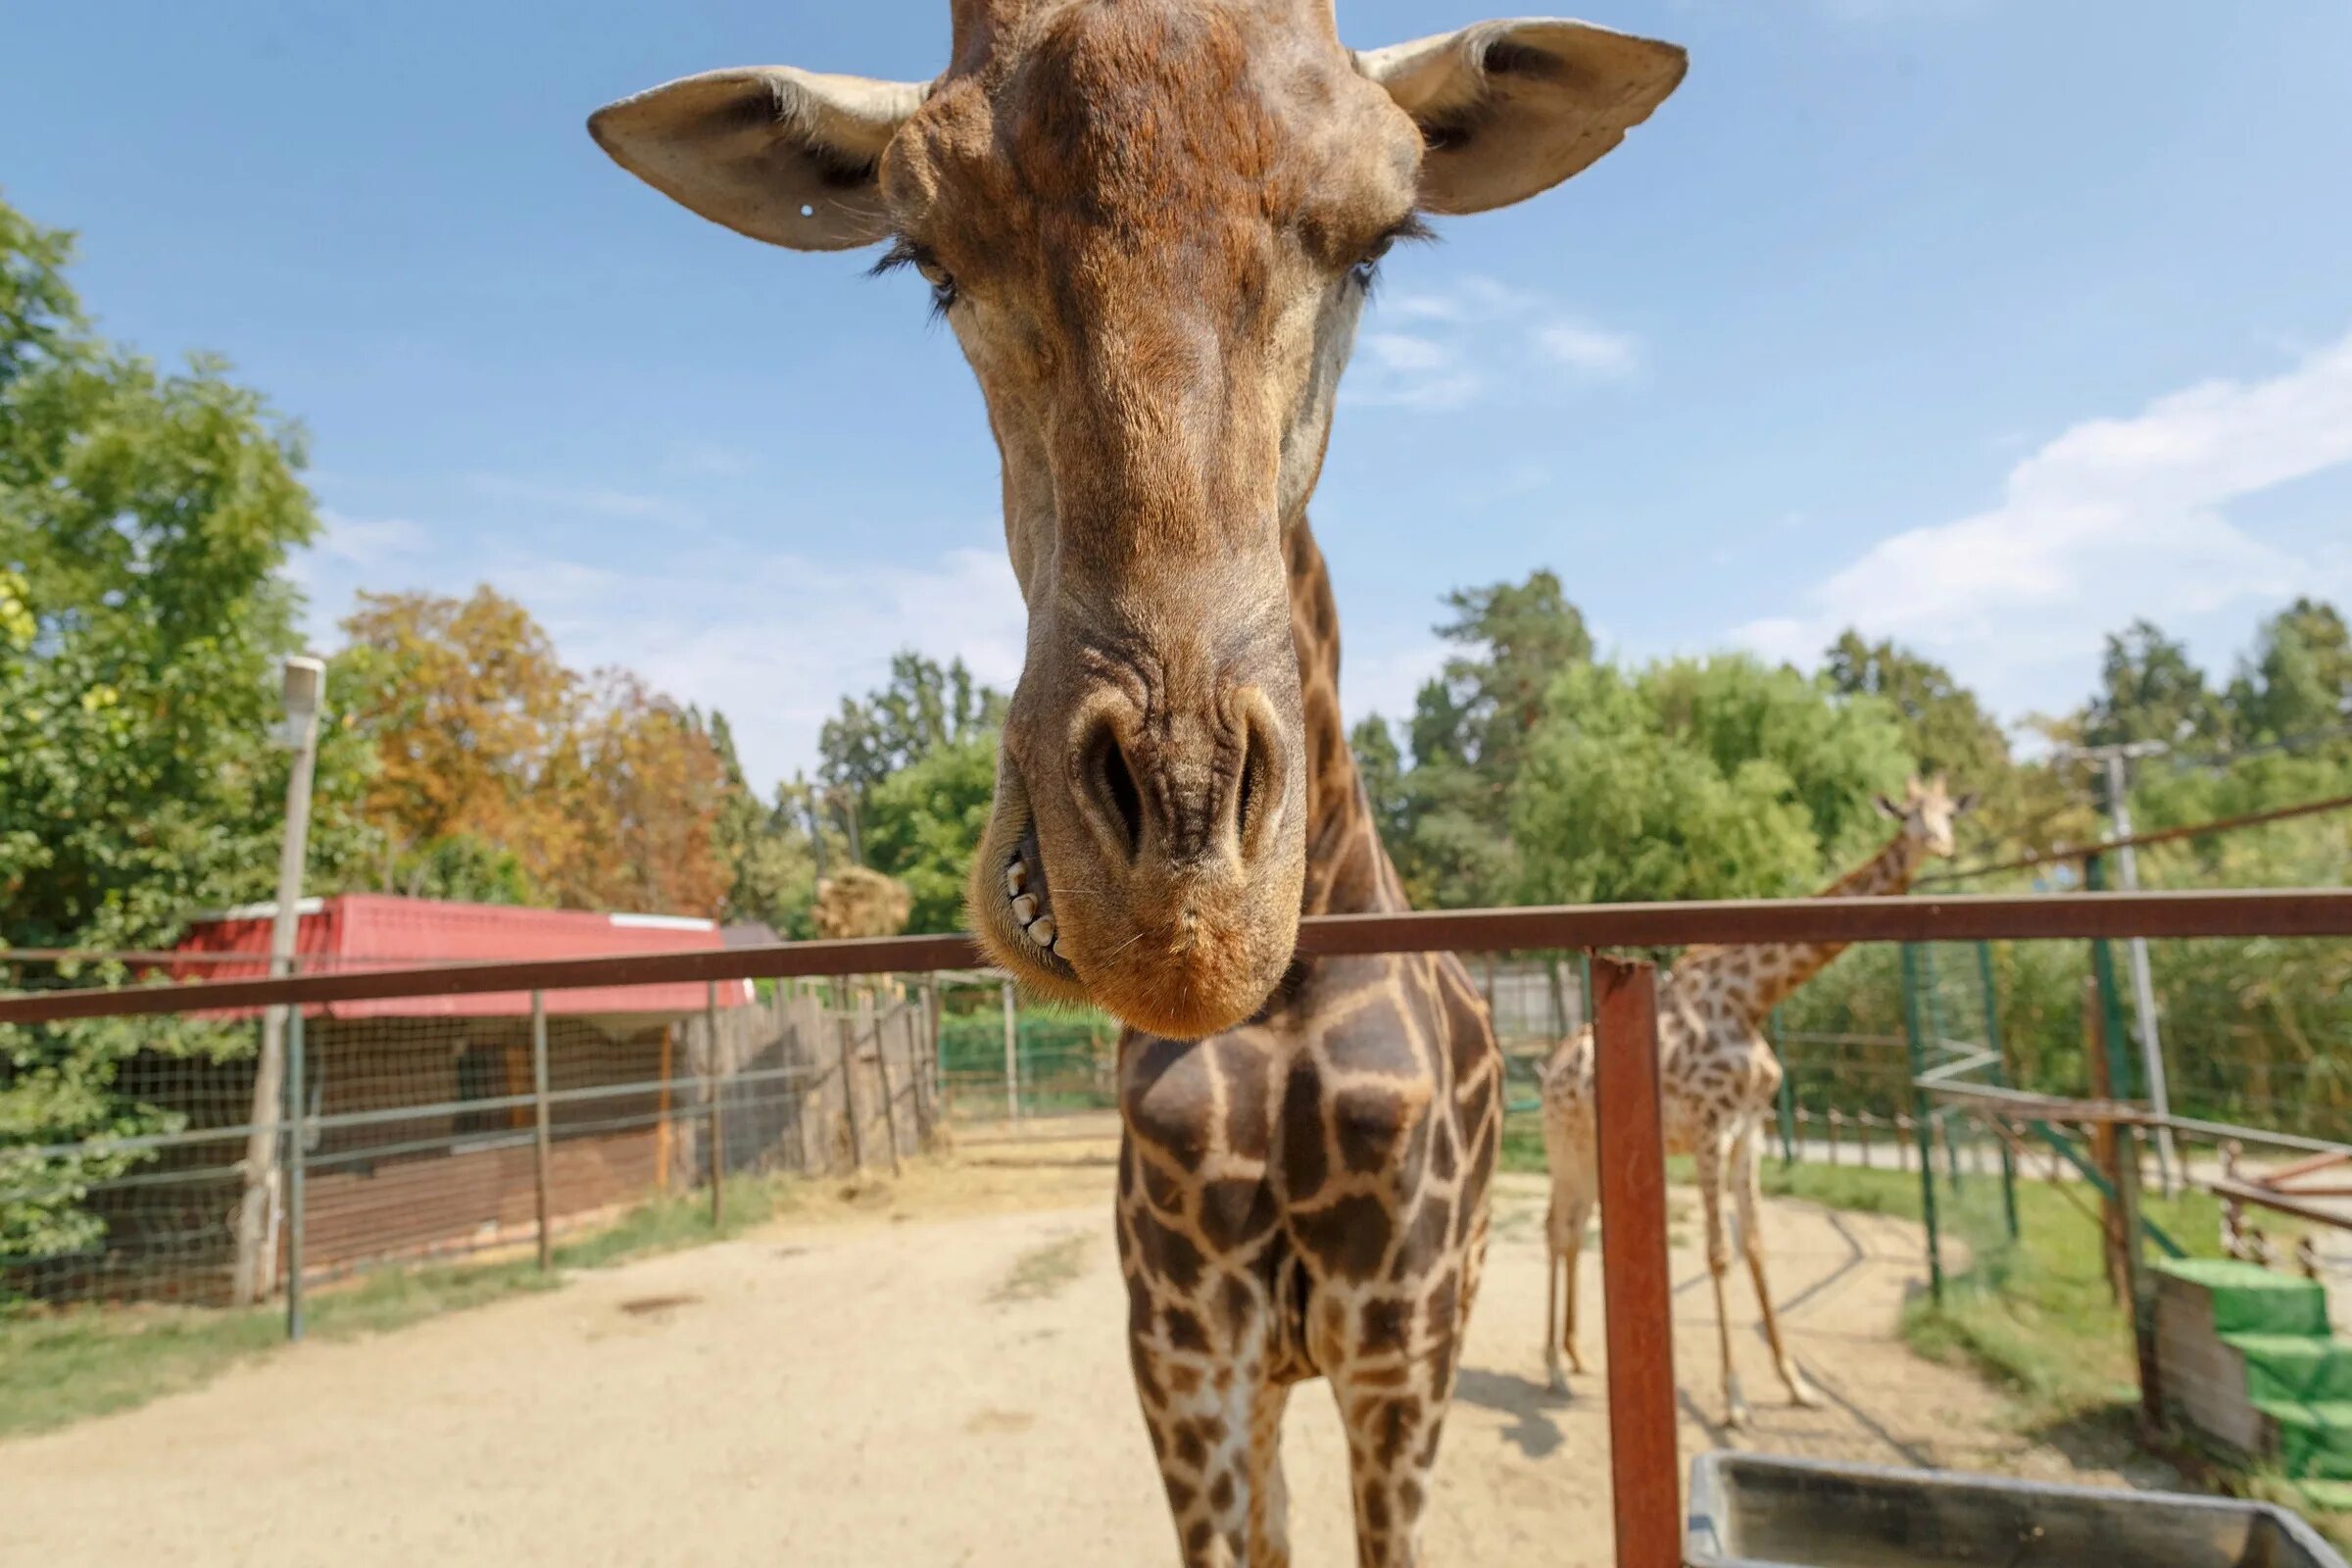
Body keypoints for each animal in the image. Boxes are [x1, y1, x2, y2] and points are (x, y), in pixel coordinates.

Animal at [588, 9, 1693, 1560]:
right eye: (926, 258)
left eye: (1379, 242)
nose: (1183, 906)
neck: (1278, 1006)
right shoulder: (1180, 1352)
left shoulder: (1403, 1352)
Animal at [1533, 780, 1976, 1429]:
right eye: (1910, 816)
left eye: (1948, 815)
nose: (1942, 847)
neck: (1752, 1000)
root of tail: (1549, 1069)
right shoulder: (1709, 1129)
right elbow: (1719, 1254)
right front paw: (1736, 1396)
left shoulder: (1750, 1128)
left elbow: (1757, 1246)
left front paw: (1794, 1382)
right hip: (1562, 1147)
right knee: (1554, 1229)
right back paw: (1554, 1369)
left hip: (1588, 1152)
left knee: (1572, 1227)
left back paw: (1574, 1355)